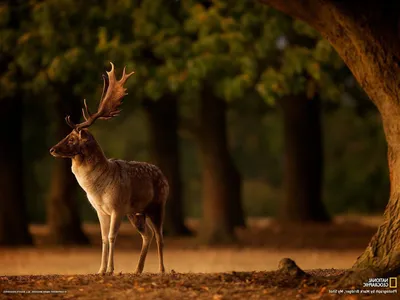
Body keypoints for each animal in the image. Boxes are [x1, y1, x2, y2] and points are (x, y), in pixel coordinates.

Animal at [49, 62, 168, 276]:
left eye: (71, 138)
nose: (52, 149)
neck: (97, 189)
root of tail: (164, 176)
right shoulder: (100, 210)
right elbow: (104, 239)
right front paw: (101, 270)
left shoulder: (117, 206)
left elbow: (112, 237)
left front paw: (111, 269)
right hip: (136, 212)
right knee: (147, 235)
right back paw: (137, 269)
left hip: (157, 204)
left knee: (159, 235)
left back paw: (162, 269)